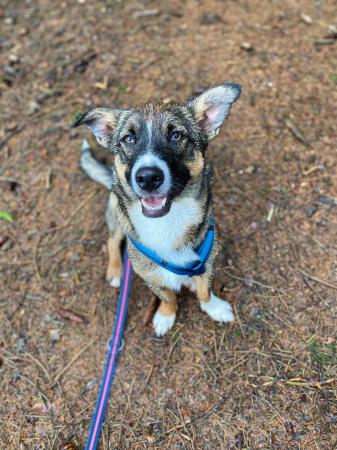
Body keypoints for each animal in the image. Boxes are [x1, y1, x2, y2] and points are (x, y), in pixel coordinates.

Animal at [73, 82, 242, 336]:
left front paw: (214, 308)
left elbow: (205, 290)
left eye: (176, 135)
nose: (148, 178)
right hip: (117, 214)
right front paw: (165, 315)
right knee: (112, 240)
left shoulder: (208, 262)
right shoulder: (149, 275)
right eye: (128, 138)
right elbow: (168, 297)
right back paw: (115, 271)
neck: (166, 221)